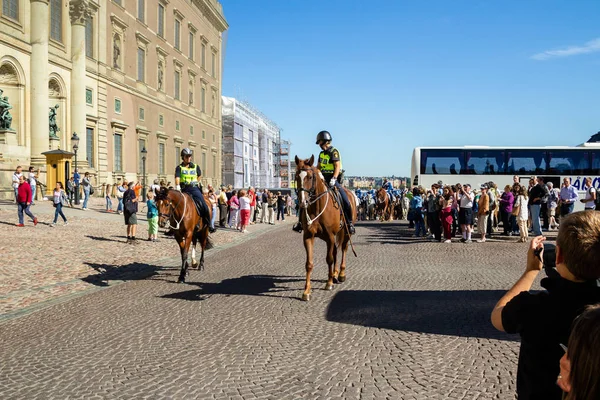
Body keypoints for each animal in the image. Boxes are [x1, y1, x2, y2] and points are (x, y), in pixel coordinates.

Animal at [296, 155, 356, 302]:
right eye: (296, 176)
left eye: (309, 177)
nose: (302, 202)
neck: (317, 207)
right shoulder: (308, 237)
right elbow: (309, 263)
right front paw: (307, 291)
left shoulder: (330, 236)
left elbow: (329, 258)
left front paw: (328, 284)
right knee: (335, 251)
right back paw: (334, 274)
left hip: (346, 233)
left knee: (343, 249)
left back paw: (340, 274)